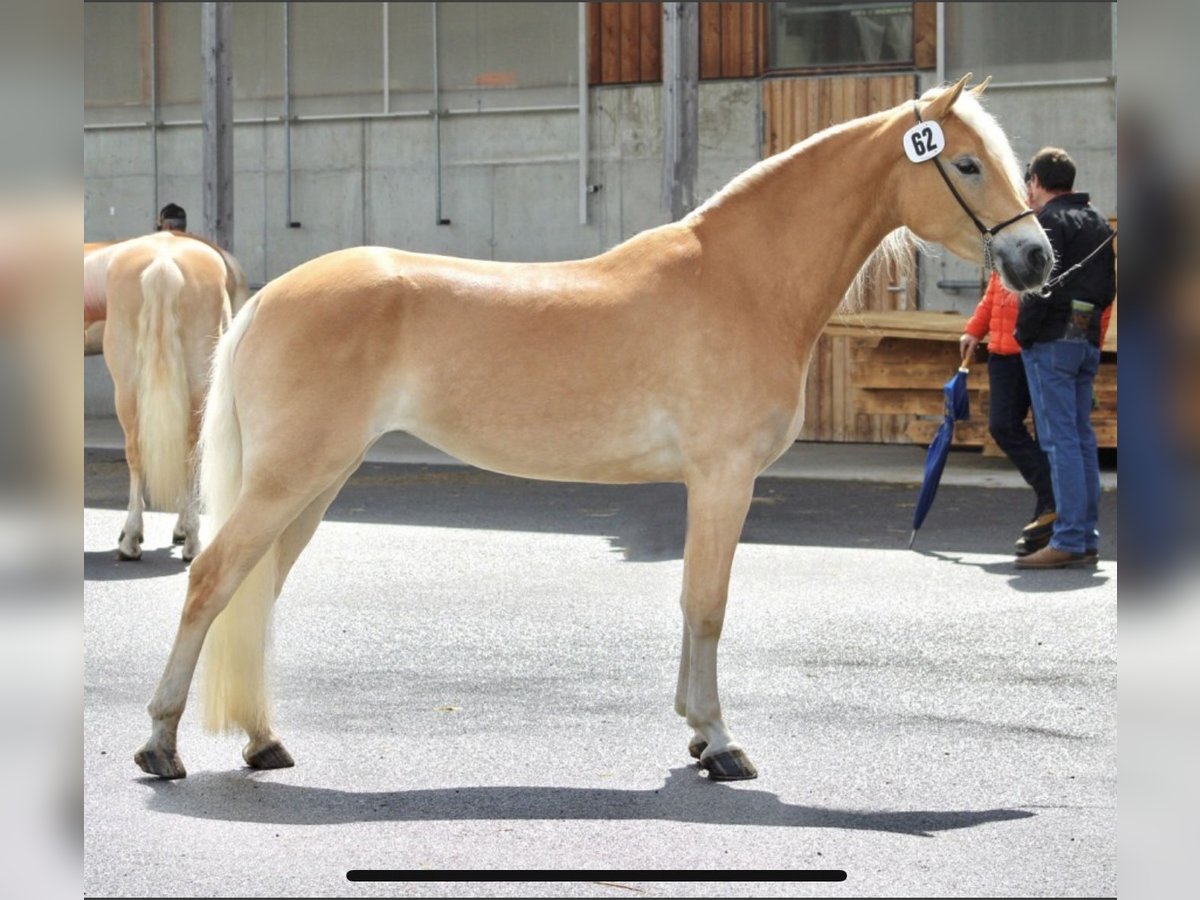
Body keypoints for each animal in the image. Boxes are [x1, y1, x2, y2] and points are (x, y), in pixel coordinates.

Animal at [85, 230, 237, 564]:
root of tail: (163, 263)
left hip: (128, 389)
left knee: (138, 451)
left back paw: (133, 539)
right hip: (197, 383)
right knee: (187, 451)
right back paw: (184, 539)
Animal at [133, 75, 1051, 782]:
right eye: (966, 163)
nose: (1037, 259)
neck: (741, 279)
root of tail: (266, 299)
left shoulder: (709, 485)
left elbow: (693, 602)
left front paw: (697, 733)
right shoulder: (725, 478)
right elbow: (707, 604)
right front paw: (721, 744)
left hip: (317, 483)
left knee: (255, 591)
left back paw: (262, 740)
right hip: (290, 478)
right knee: (211, 580)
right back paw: (161, 746)